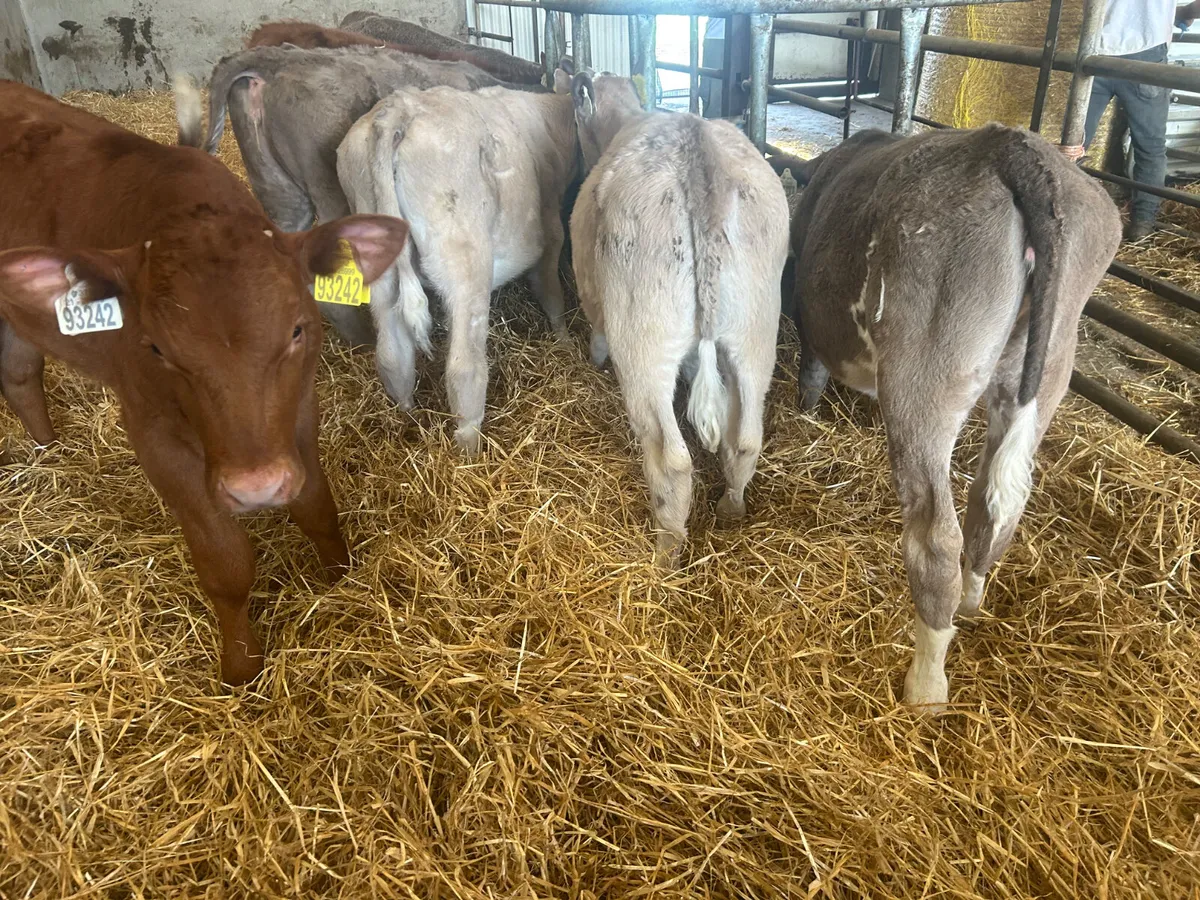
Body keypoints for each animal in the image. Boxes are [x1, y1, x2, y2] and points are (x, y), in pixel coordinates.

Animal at [0, 79, 409, 685]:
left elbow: (315, 504)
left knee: (20, 367)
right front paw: (241, 668)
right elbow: (226, 561)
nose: (256, 487)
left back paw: (50, 448)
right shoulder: (154, 433)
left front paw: (341, 577)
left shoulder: (298, 407)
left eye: (298, 328)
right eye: (154, 348)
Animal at [335, 65, 579, 452]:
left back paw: (408, 416)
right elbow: (551, 292)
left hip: (377, 264)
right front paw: (565, 340)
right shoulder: (551, 230)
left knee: (392, 354)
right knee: (464, 368)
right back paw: (470, 452)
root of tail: (398, 109)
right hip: (465, 262)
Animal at [567, 72, 789, 567]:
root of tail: (698, 157)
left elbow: (596, 337)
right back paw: (731, 508)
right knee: (747, 437)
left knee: (670, 458)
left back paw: (666, 549)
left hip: (644, 341)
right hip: (755, 330)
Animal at [788, 125, 1121, 710]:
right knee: (995, 504)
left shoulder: (814, 330)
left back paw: (926, 683)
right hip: (1048, 361)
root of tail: (1008, 147)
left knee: (936, 535)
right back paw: (971, 599)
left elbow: (810, 375)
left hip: (925, 369)